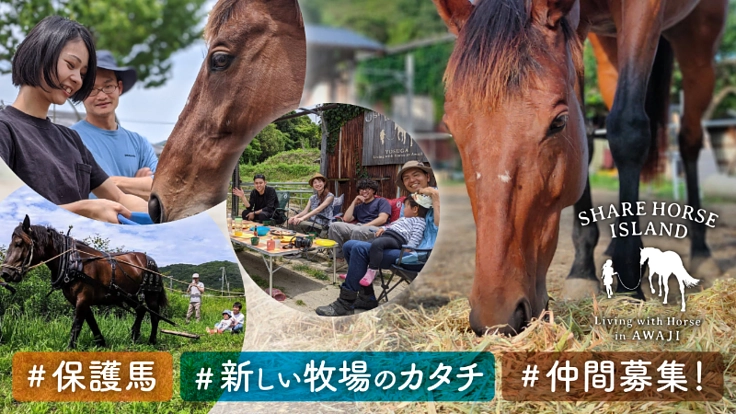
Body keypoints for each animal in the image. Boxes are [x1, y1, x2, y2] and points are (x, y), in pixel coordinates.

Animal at [0, 215, 168, 348]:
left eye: (19, 243)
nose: (5, 273)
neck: (73, 262)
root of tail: (149, 259)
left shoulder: (83, 298)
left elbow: (77, 325)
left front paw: (70, 348)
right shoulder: (81, 300)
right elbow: (91, 322)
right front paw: (101, 343)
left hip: (151, 294)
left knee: (154, 316)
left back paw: (152, 340)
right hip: (128, 295)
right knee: (140, 310)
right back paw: (134, 336)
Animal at [433, 0, 727, 335]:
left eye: (558, 122)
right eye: (450, 128)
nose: (498, 314)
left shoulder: (643, 11)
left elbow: (627, 129)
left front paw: (629, 285)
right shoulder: (580, 26)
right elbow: (586, 135)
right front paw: (583, 270)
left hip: (697, 39)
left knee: (689, 139)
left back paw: (700, 250)